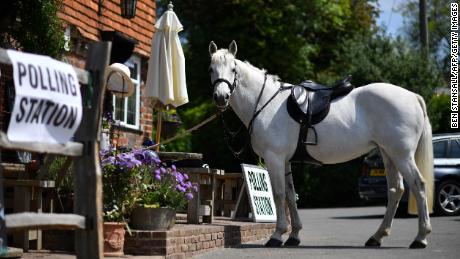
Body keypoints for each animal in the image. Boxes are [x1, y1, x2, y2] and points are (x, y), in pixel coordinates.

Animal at [209, 41, 434, 250]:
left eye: (233, 69)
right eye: (211, 69)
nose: (221, 97)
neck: (265, 101)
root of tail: (413, 96)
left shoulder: (275, 159)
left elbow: (279, 194)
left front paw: (277, 235)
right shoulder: (285, 161)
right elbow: (290, 195)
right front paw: (294, 236)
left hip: (401, 155)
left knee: (418, 186)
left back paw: (420, 238)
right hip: (388, 154)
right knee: (396, 190)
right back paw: (377, 237)